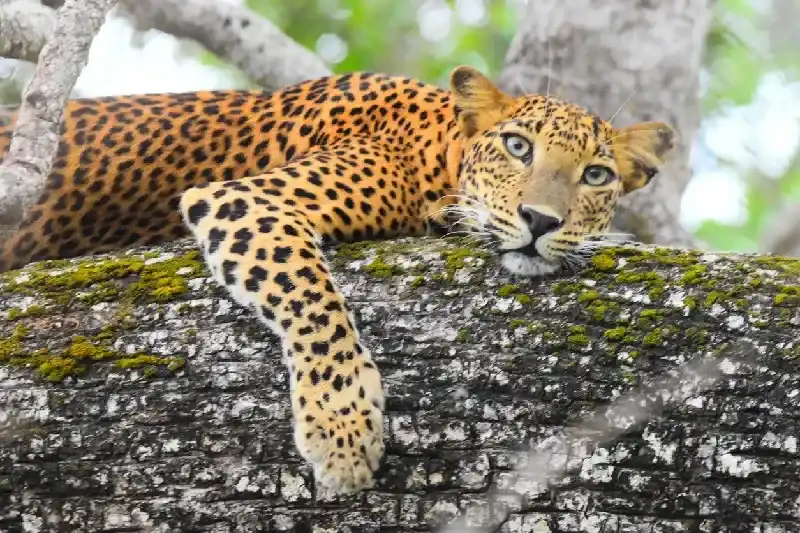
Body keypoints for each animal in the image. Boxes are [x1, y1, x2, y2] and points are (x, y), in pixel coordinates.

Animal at [0, 66, 676, 494]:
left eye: (595, 175)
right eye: (517, 146)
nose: (541, 221)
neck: (435, 151)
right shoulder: (246, 201)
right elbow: (314, 301)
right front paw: (341, 428)